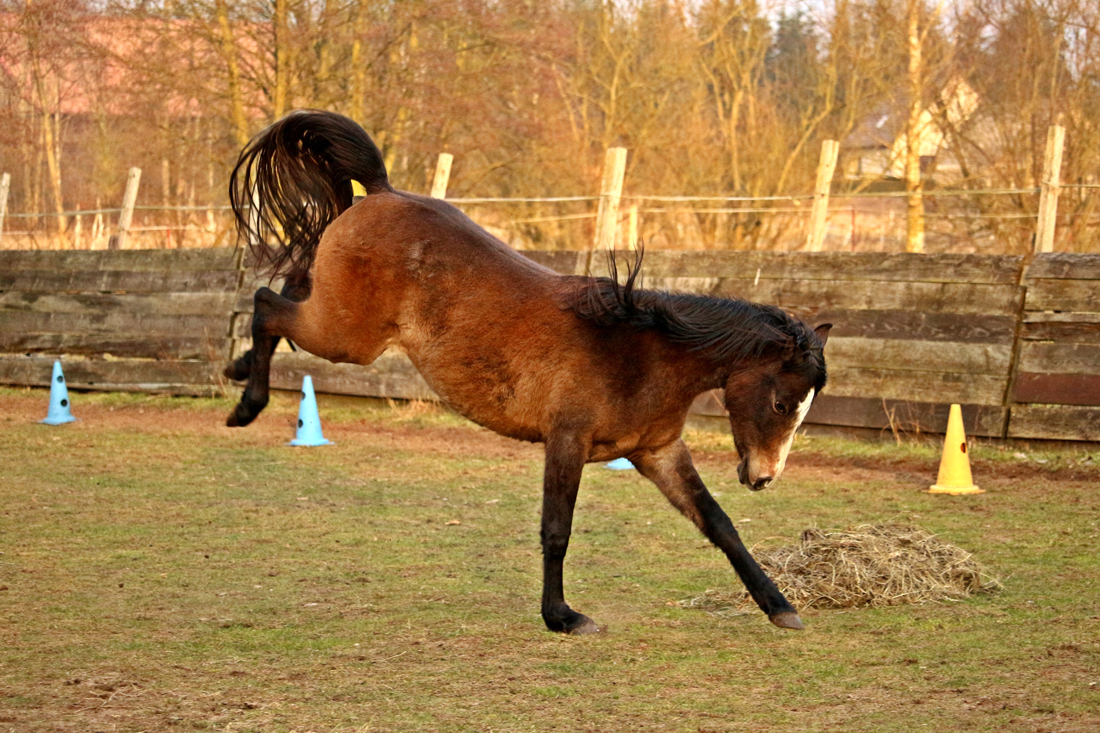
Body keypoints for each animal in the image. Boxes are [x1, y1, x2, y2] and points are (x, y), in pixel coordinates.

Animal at [223, 110, 827, 633]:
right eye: (781, 403)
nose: (764, 477)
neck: (642, 351)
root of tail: (383, 192)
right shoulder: (567, 441)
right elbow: (556, 530)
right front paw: (562, 617)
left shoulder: (657, 452)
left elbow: (719, 524)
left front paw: (780, 606)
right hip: (348, 337)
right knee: (266, 303)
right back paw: (246, 406)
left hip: (338, 319)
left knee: (288, 287)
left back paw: (236, 369)